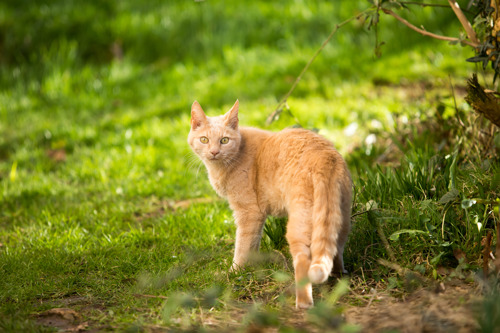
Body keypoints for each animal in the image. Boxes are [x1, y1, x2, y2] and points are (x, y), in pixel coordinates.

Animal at [188, 100, 352, 308]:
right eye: (204, 140)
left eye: (224, 140)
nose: (214, 152)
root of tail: (324, 157)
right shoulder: (256, 218)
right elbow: (253, 243)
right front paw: (252, 267)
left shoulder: (249, 213)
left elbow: (242, 245)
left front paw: (235, 272)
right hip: (341, 217)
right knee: (335, 248)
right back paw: (338, 276)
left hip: (300, 224)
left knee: (303, 261)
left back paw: (304, 303)